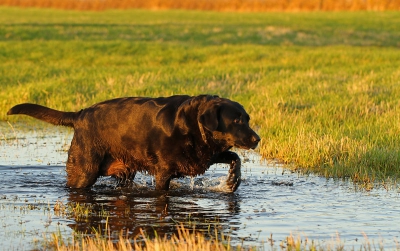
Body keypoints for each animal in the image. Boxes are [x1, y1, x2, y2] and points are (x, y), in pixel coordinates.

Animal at [8, 94, 262, 192]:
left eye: (247, 119)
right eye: (236, 120)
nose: (257, 139)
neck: (193, 126)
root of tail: (79, 115)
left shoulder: (207, 155)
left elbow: (235, 158)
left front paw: (233, 181)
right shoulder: (163, 171)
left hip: (124, 171)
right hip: (84, 169)